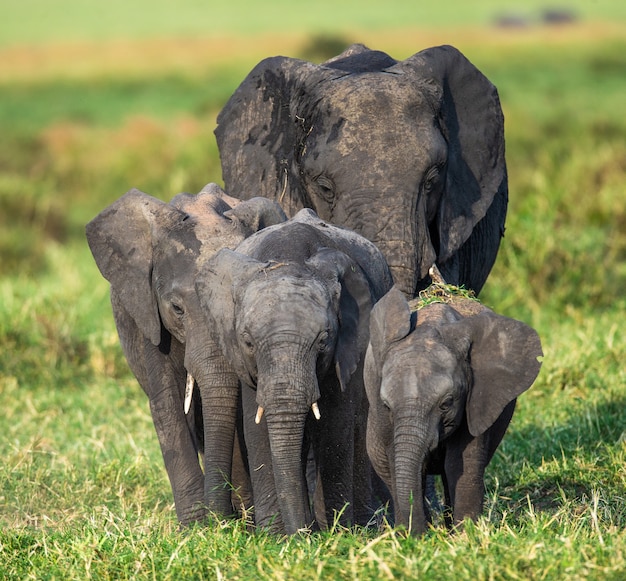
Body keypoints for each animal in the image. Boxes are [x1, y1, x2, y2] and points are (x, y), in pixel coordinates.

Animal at [85, 184, 286, 524]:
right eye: (177, 309)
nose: (220, 519)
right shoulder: (148, 314)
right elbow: (168, 401)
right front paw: (195, 527)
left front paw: (233, 522)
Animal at [195, 208, 392, 536]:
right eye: (248, 342)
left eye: (323, 341)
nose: (303, 534)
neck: (288, 258)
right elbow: (257, 426)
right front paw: (275, 537)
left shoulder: (346, 346)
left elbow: (335, 424)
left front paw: (336, 532)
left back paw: (361, 526)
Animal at [360, 280, 540, 536]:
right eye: (386, 406)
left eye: (446, 404)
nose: (421, 536)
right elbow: (401, 462)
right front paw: (413, 537)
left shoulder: (478, 398)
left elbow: (460, 464)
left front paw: (465, 537)